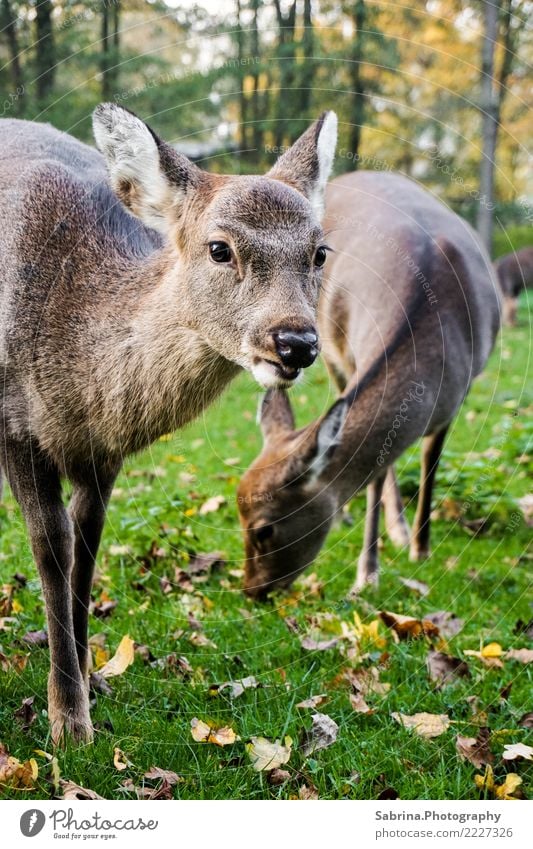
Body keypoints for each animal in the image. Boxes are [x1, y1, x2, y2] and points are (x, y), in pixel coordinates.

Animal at [0, 104, 336, 744]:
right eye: (219, 248)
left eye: (320, 252)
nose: (296, 342)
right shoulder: (14, 426)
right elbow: (52, 547)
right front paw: (67, 721)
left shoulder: (101, 451)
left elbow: (87, 545)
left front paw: (92, 681)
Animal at [235, 169, 500, 600]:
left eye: (264, 529)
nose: (252, 590)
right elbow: (376, 466)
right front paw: (368, 573)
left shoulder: (460, 396)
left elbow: (428, 463)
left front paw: (420, 549)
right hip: (330, 350)